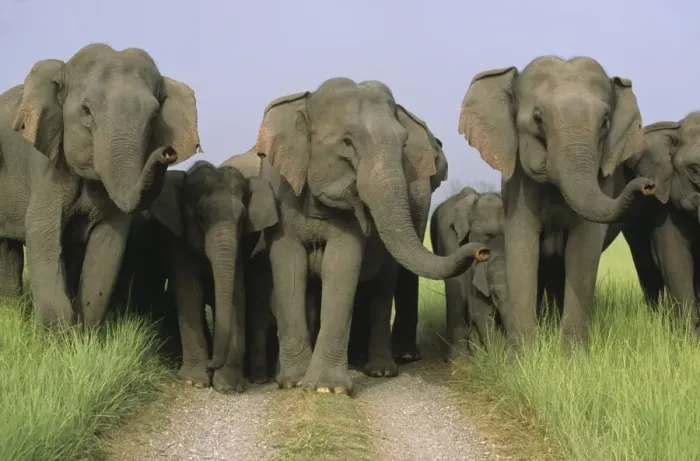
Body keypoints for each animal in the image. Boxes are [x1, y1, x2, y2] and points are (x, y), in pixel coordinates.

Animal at [10, 43, 201, 329]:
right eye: (86, 111)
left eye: (155, 115)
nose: (168, 151)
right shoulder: (45, 165)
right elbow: (42, 230)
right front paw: (59, 336)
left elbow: (109, 244)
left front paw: (85, 333)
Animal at [254, 76, 490, 394]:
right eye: (347, 143)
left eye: (403, 144)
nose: (482, 250)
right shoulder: (280, 192)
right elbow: (289, 266)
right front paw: (293, 382)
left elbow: (341, 265)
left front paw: (326, 388)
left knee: (385, 282)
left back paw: (382, 369)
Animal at [458, 56, 656, 347]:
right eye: (538, 119)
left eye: (605, 122)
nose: (647, 184)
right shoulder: (518, 181)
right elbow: (522, 247)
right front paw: (525, 355)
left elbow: (584, 249)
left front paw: (572, 355)